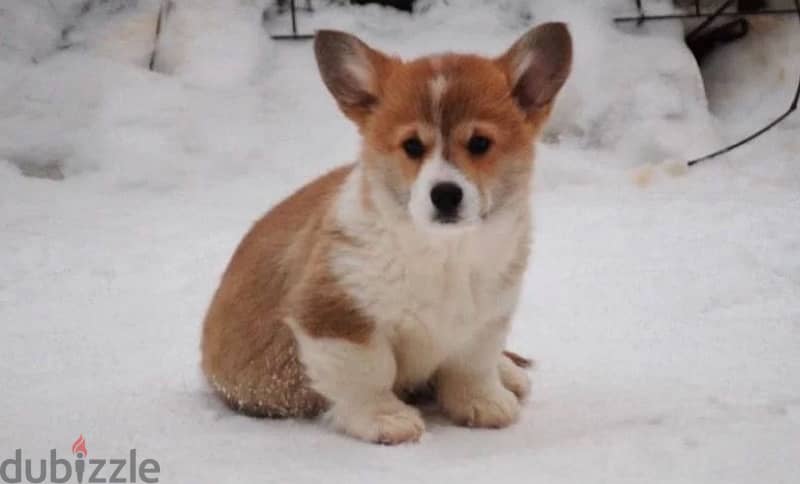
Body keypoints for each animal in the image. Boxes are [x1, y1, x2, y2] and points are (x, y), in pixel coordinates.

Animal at [203, 24, 572, 444]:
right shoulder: (336, 315)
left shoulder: (486, 317)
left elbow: (472, 364)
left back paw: (509, 374)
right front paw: (385, 418)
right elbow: (369, 373)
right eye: (412, 146)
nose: (445, 194)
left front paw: (483, 402)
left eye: (480, 143)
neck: (445, 252)